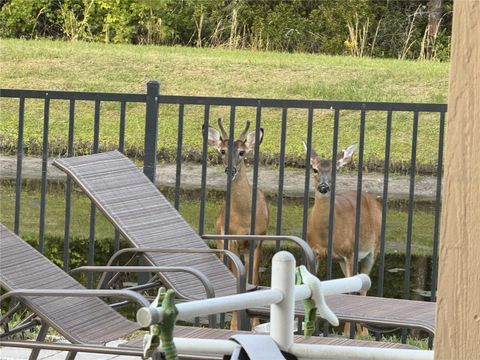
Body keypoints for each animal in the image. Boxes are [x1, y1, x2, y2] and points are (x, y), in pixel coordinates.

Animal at [205, 119, 268, 330]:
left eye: (242, 152)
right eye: (222, 150)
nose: (230, 170)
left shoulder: (258, 240)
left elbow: (254, 278)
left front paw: (255, 323)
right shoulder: (231, 240)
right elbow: (235, 282)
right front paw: (234, 324)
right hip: (220, 242)